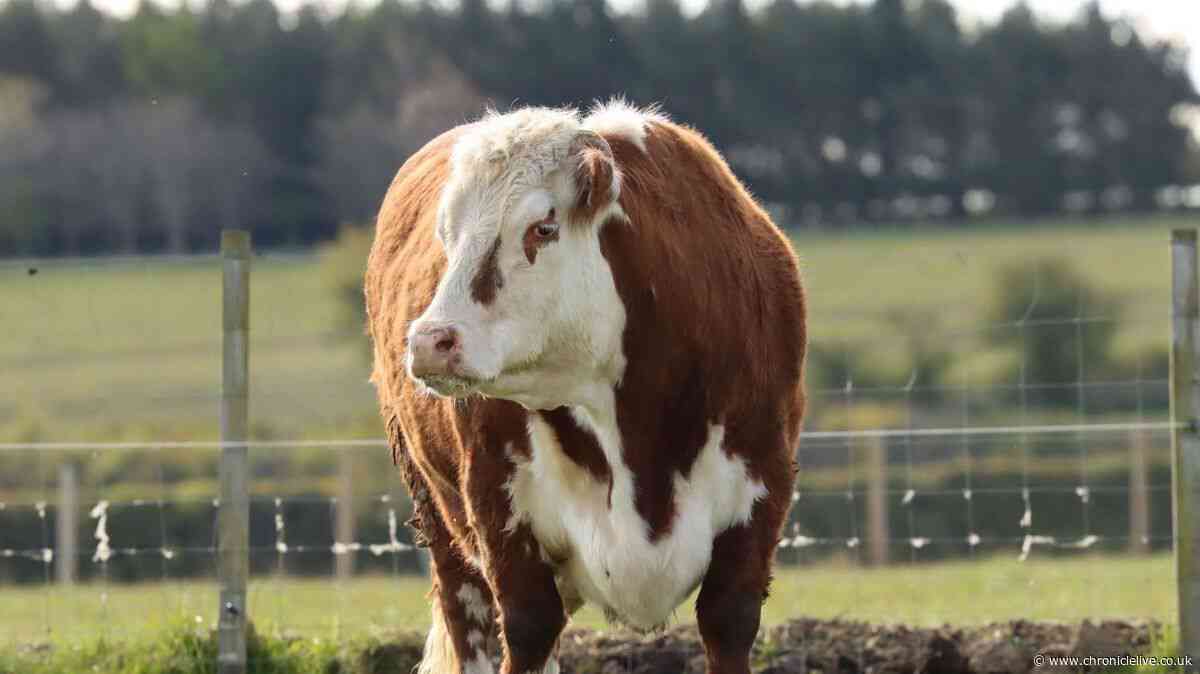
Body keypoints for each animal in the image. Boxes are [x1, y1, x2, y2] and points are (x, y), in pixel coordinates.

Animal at [364, 100, 807, 674]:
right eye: (448, 234)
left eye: (542, 227)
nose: (430, 340)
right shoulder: (500, 512)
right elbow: (528, 626)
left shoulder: (760, 497)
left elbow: (728, 618)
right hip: (442, 529)